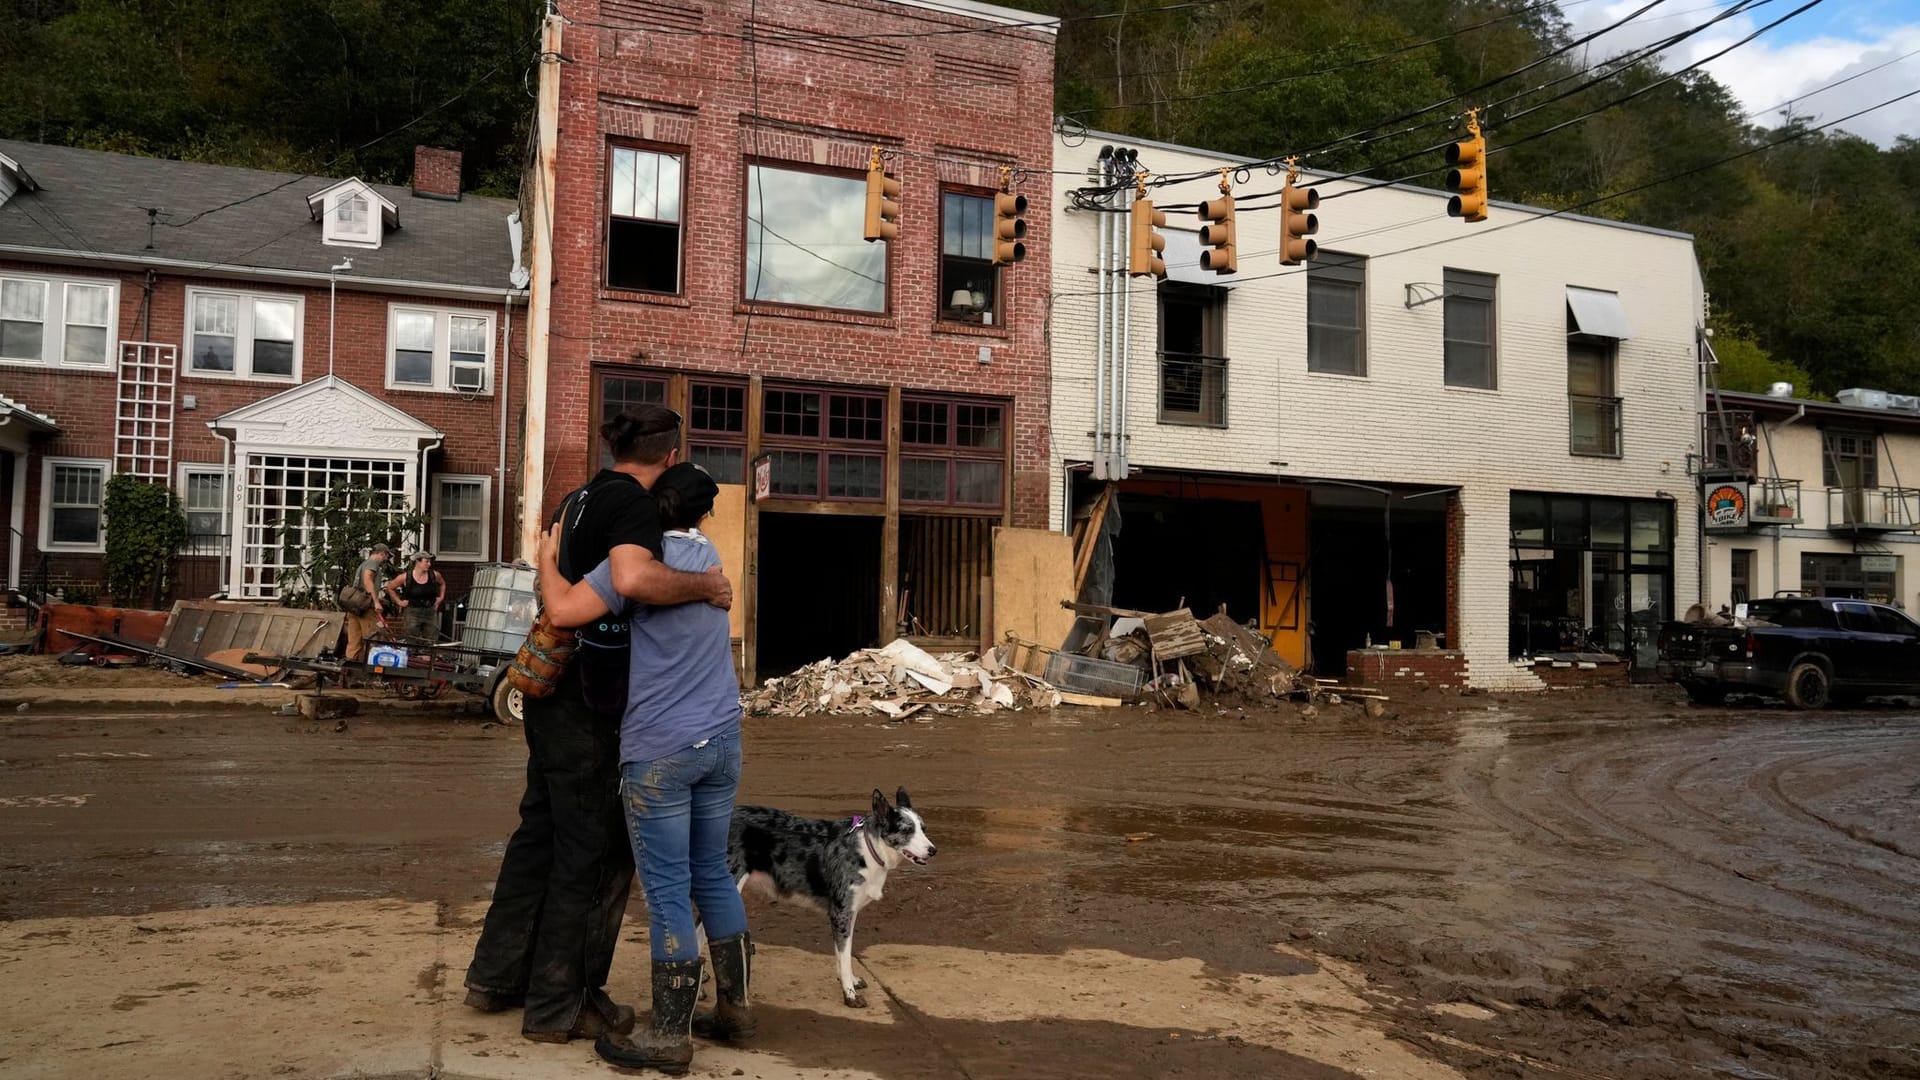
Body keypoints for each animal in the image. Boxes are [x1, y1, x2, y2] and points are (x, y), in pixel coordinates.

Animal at [725, 780, 936, 999]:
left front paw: (850, 981)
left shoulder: (849, 912)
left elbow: (843, 952)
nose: (933, 850)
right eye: (906, 830)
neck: (867, 848)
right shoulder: (841, 913)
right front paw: (849, 993)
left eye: (923, 829)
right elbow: (844, 955)